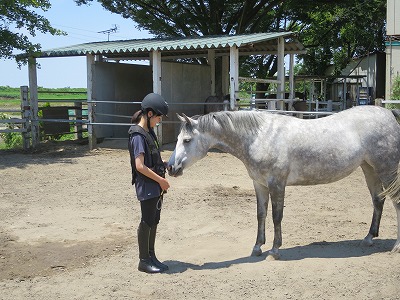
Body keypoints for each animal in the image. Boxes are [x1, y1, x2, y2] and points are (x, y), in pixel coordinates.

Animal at [167, 106, 400, 260]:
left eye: (187, 140)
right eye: (177, 139)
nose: (170, 168)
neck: (259, 137)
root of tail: (389, 114)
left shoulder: (277, 184)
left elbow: (276, 216)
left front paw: (275, 250)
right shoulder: (259, 184)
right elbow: (261, 215)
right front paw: (257, 247)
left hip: (387, 171)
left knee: (396, 203)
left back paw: (396, 246)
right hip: (369, 169)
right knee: (378, 201)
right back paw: (368, 238)